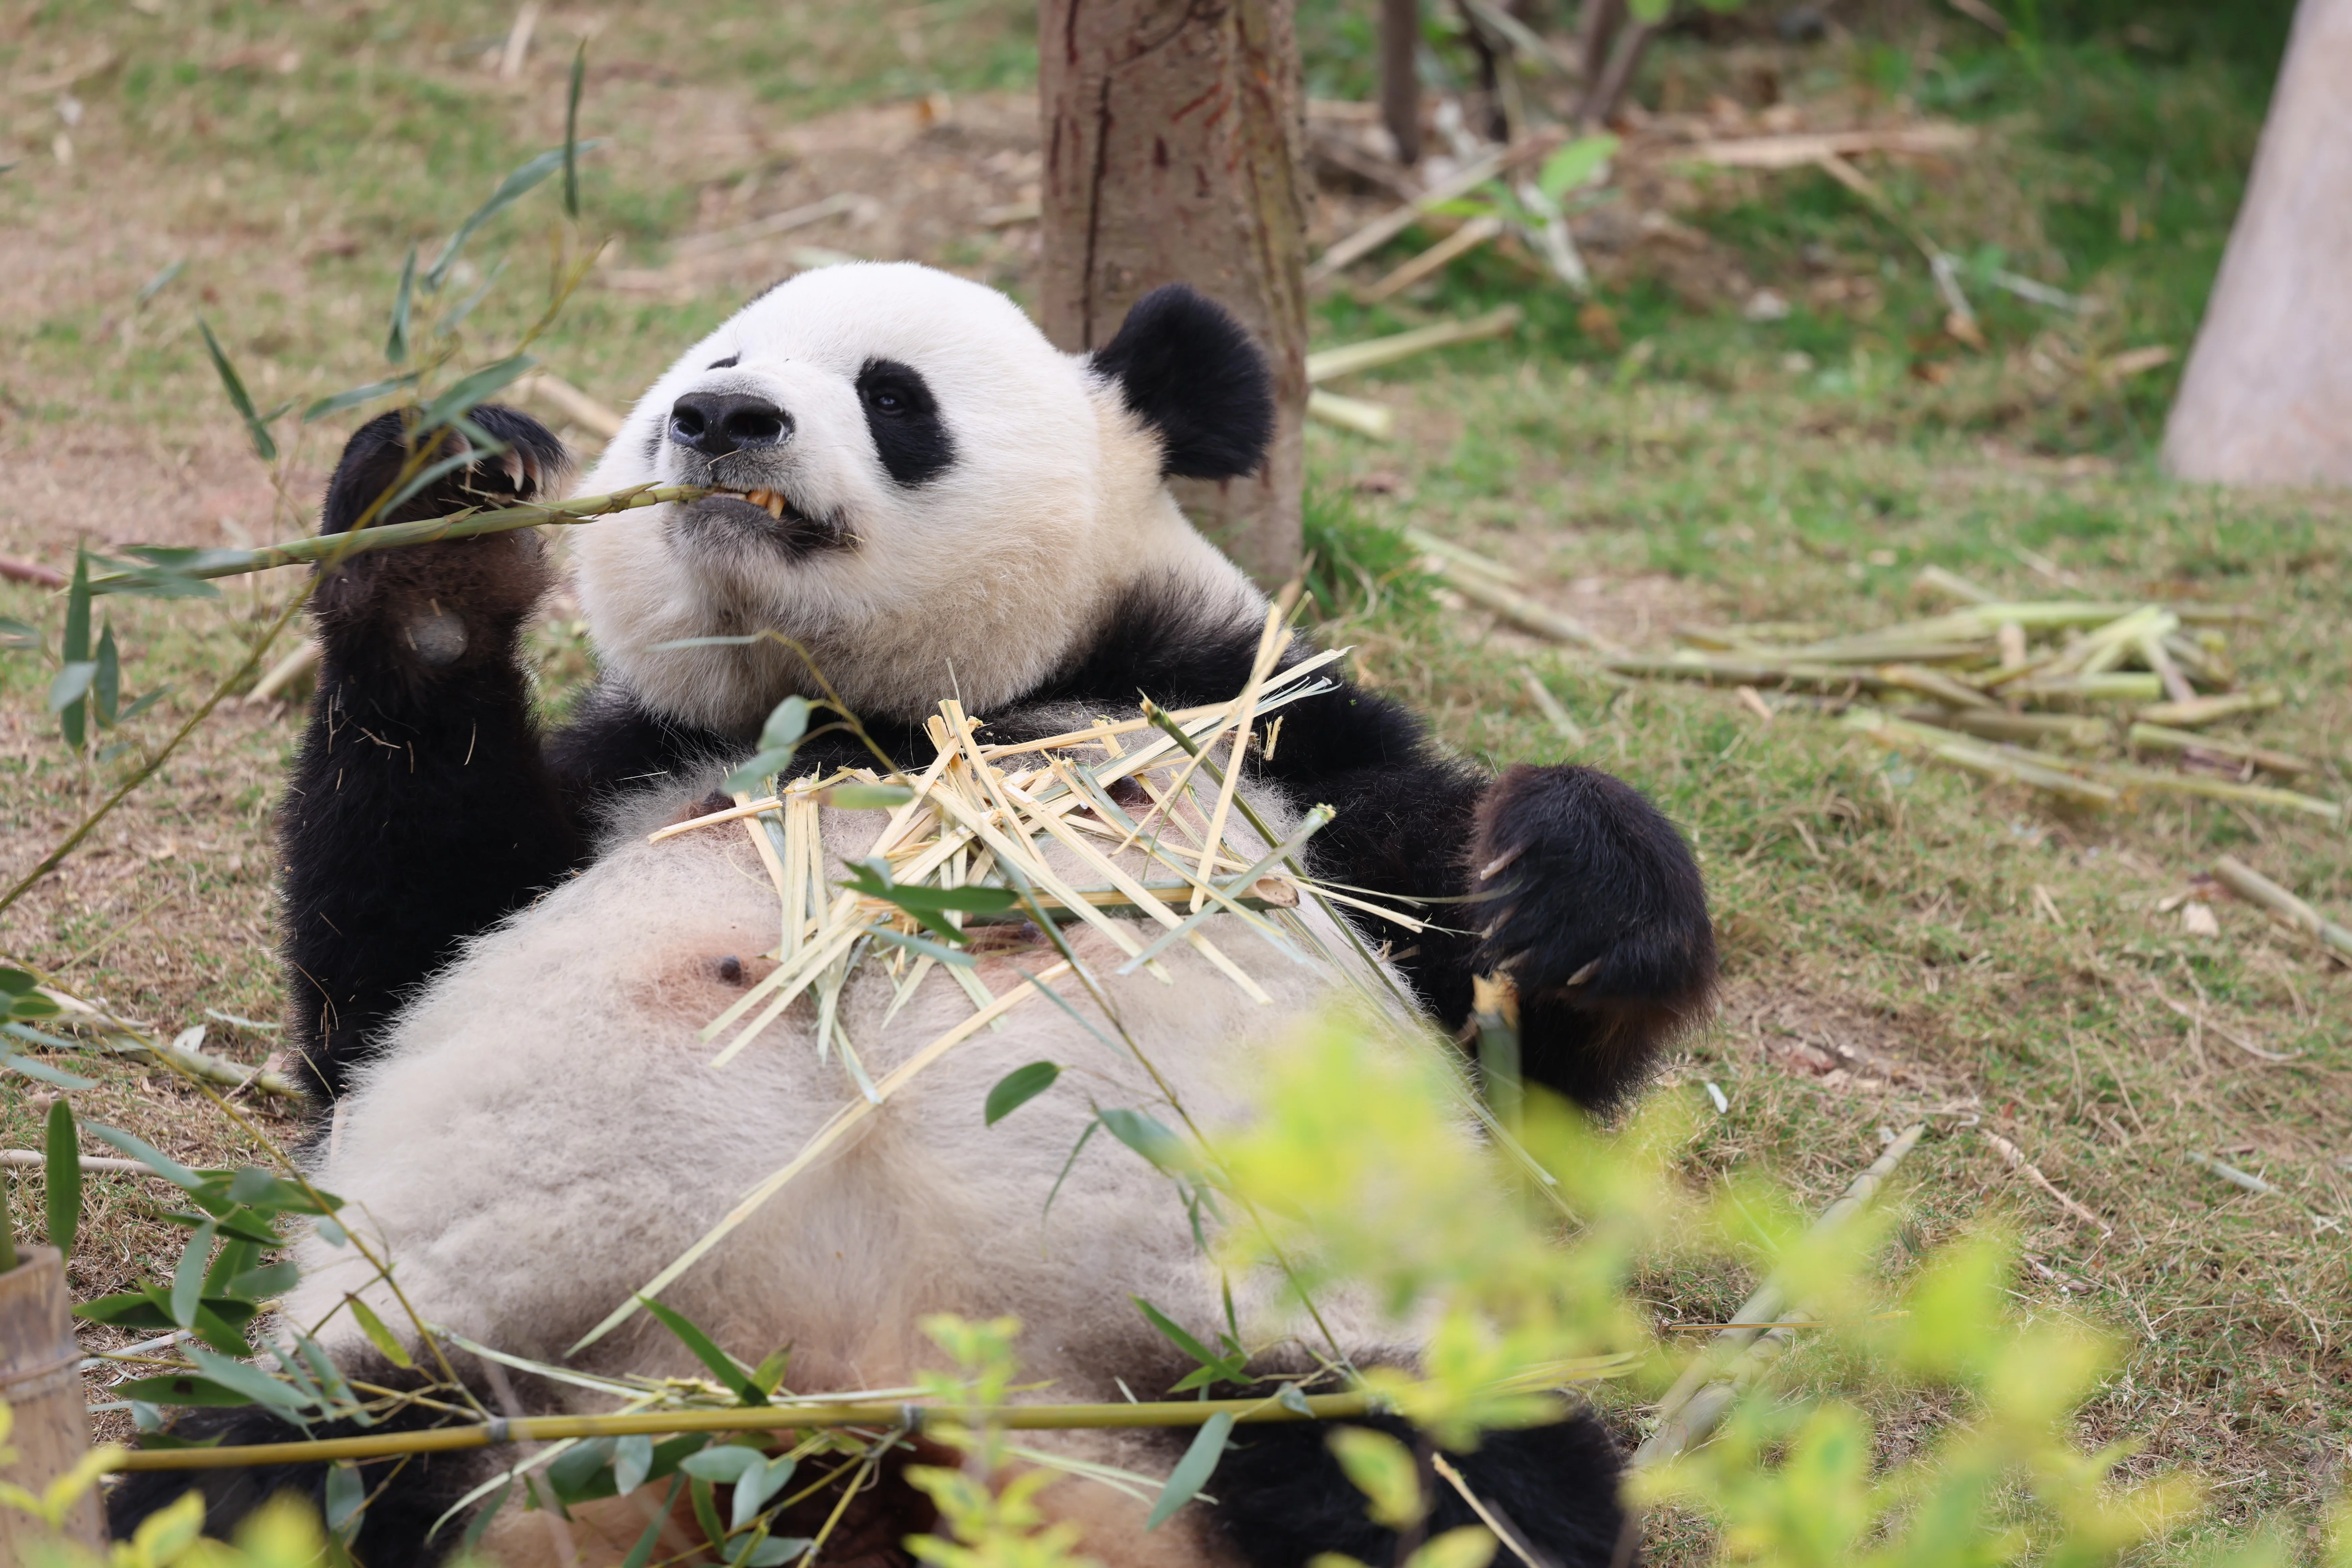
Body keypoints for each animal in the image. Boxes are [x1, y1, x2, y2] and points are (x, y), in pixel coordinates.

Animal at [108, 262, 1715, 1566]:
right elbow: (387, 961)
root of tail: (853, 1416)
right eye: (710, 361)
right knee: (261, 1477)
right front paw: (437, 515)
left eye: (892, 394)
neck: (877, 715)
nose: (723, 418)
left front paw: (1562, 893)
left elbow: (1506, 1023)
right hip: (449, 1366)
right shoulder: (631, 774)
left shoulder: (1250, 731)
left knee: (1439, 1480)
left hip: (1270, 1358)